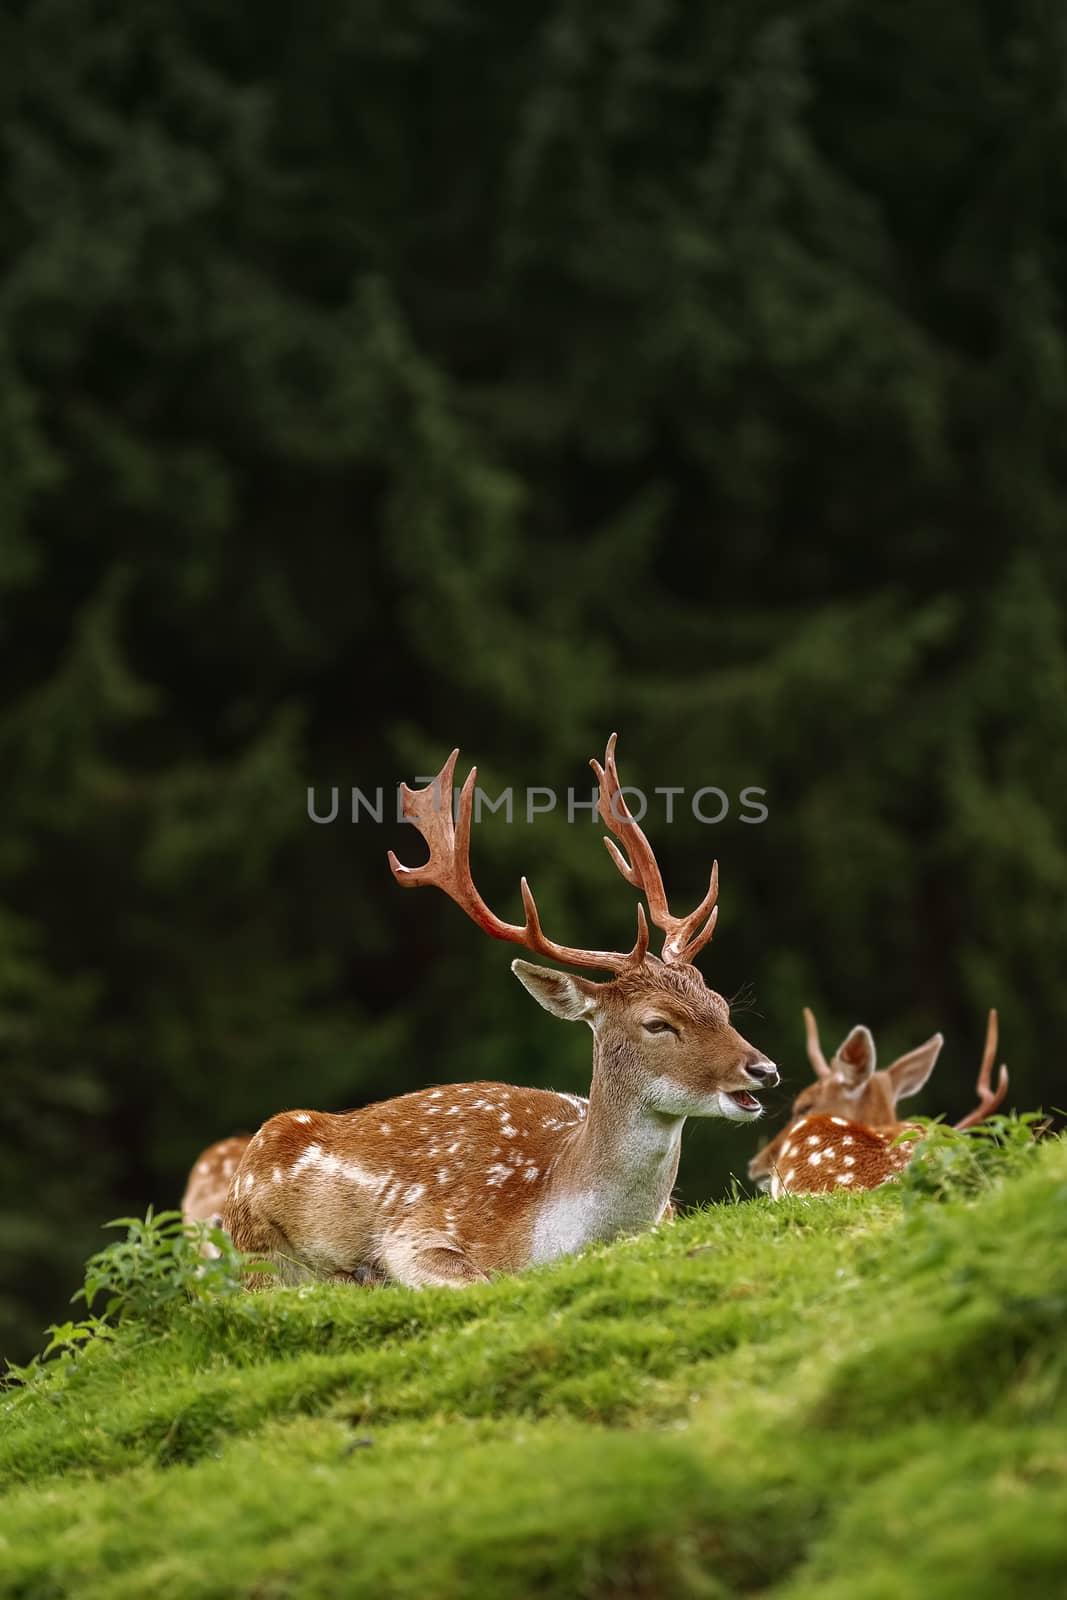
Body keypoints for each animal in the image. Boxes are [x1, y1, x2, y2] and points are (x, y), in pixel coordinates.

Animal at [225, 736, 777, 1286]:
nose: (765, 1069)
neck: (549, 1227)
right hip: (251, 1240)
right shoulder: (415, 1231)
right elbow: (474, 1276)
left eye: (722, 1005)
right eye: (657, 1023)